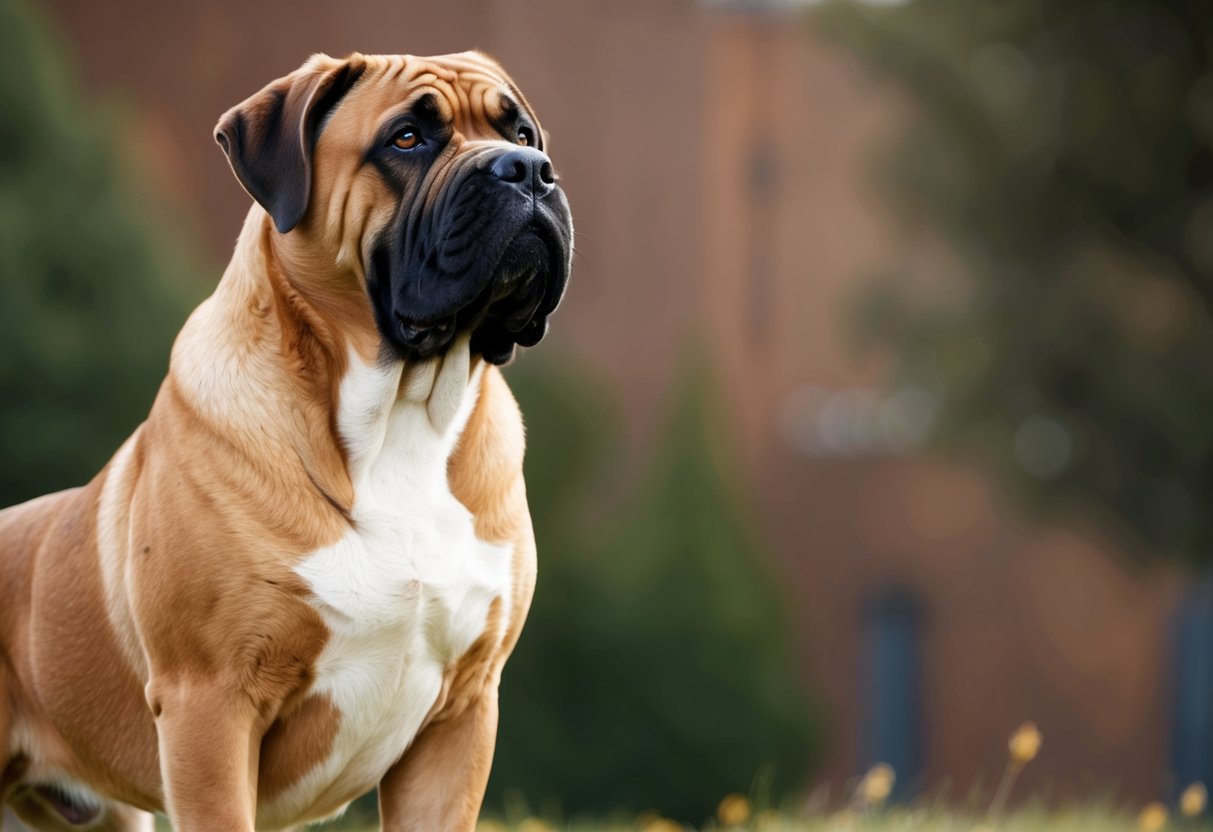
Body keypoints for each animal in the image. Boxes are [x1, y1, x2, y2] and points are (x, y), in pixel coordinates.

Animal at [0, 48, 570, 829]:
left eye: (522, 133)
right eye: (405, 139)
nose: (526, 170)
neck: (399, 416)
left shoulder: (462, 715)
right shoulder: (210, 706)